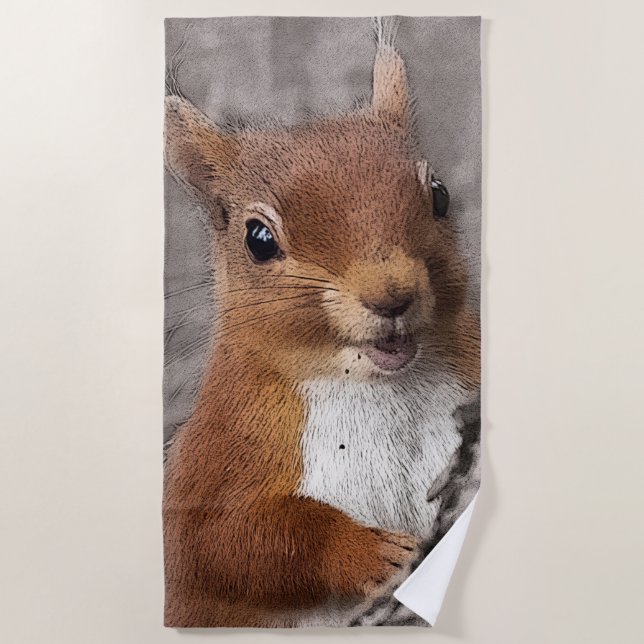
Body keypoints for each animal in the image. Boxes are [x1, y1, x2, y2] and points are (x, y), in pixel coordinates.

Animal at [163, 20, 480, 628]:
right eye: (258, 239)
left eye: (440, 195)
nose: (392, 295)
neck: (377, 385)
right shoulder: (220, 448)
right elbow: (222, 541)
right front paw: (372, 552)